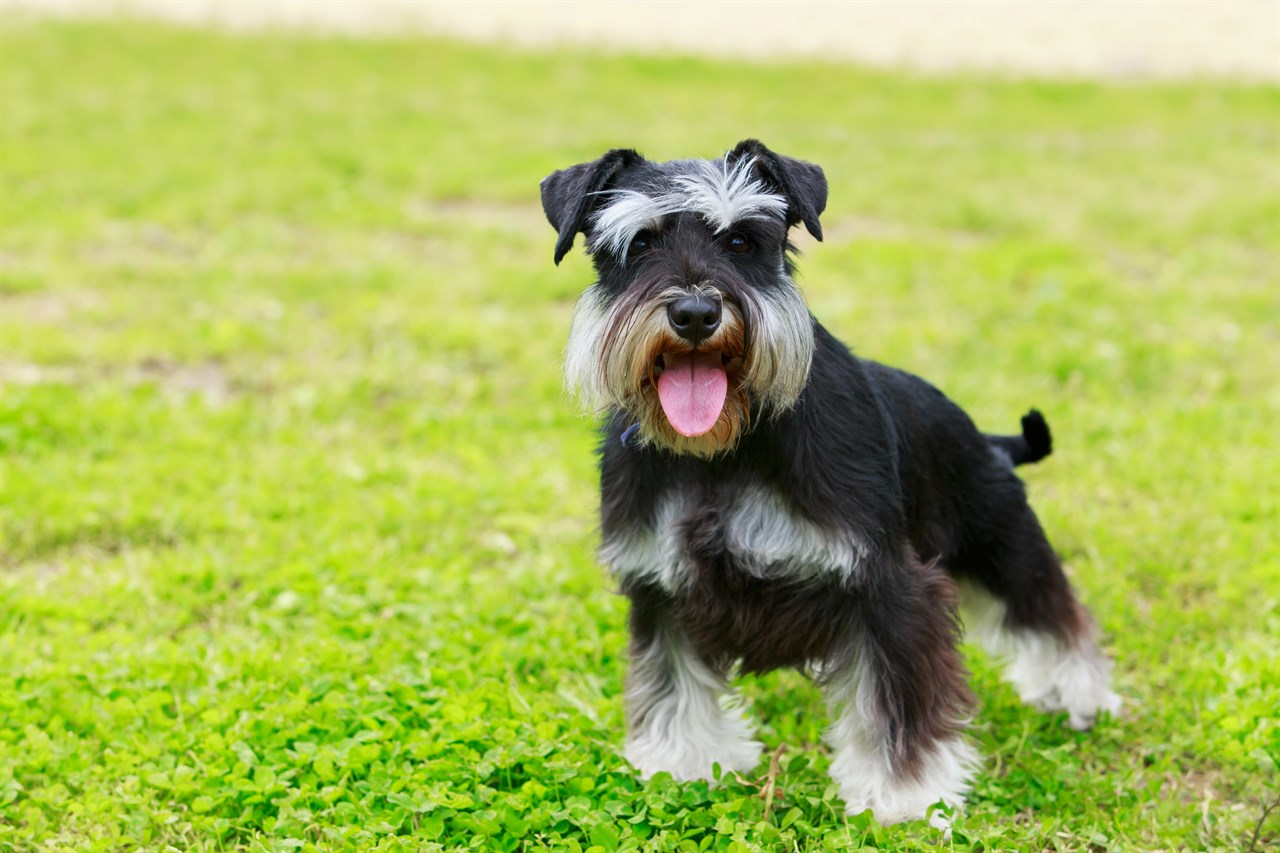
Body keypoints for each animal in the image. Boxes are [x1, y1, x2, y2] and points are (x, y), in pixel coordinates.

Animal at [540, 140, 1121, 824]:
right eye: (638, 244)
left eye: (742, 241)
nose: (696, 313)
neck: (722, 452)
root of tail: (985, 438)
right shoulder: (660, 587)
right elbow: (673, 686)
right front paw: (682, 764)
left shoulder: (886, 585)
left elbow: (896, 702)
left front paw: (905, 796)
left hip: (1004, 546)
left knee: (1052, 615)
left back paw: (1079, 694)